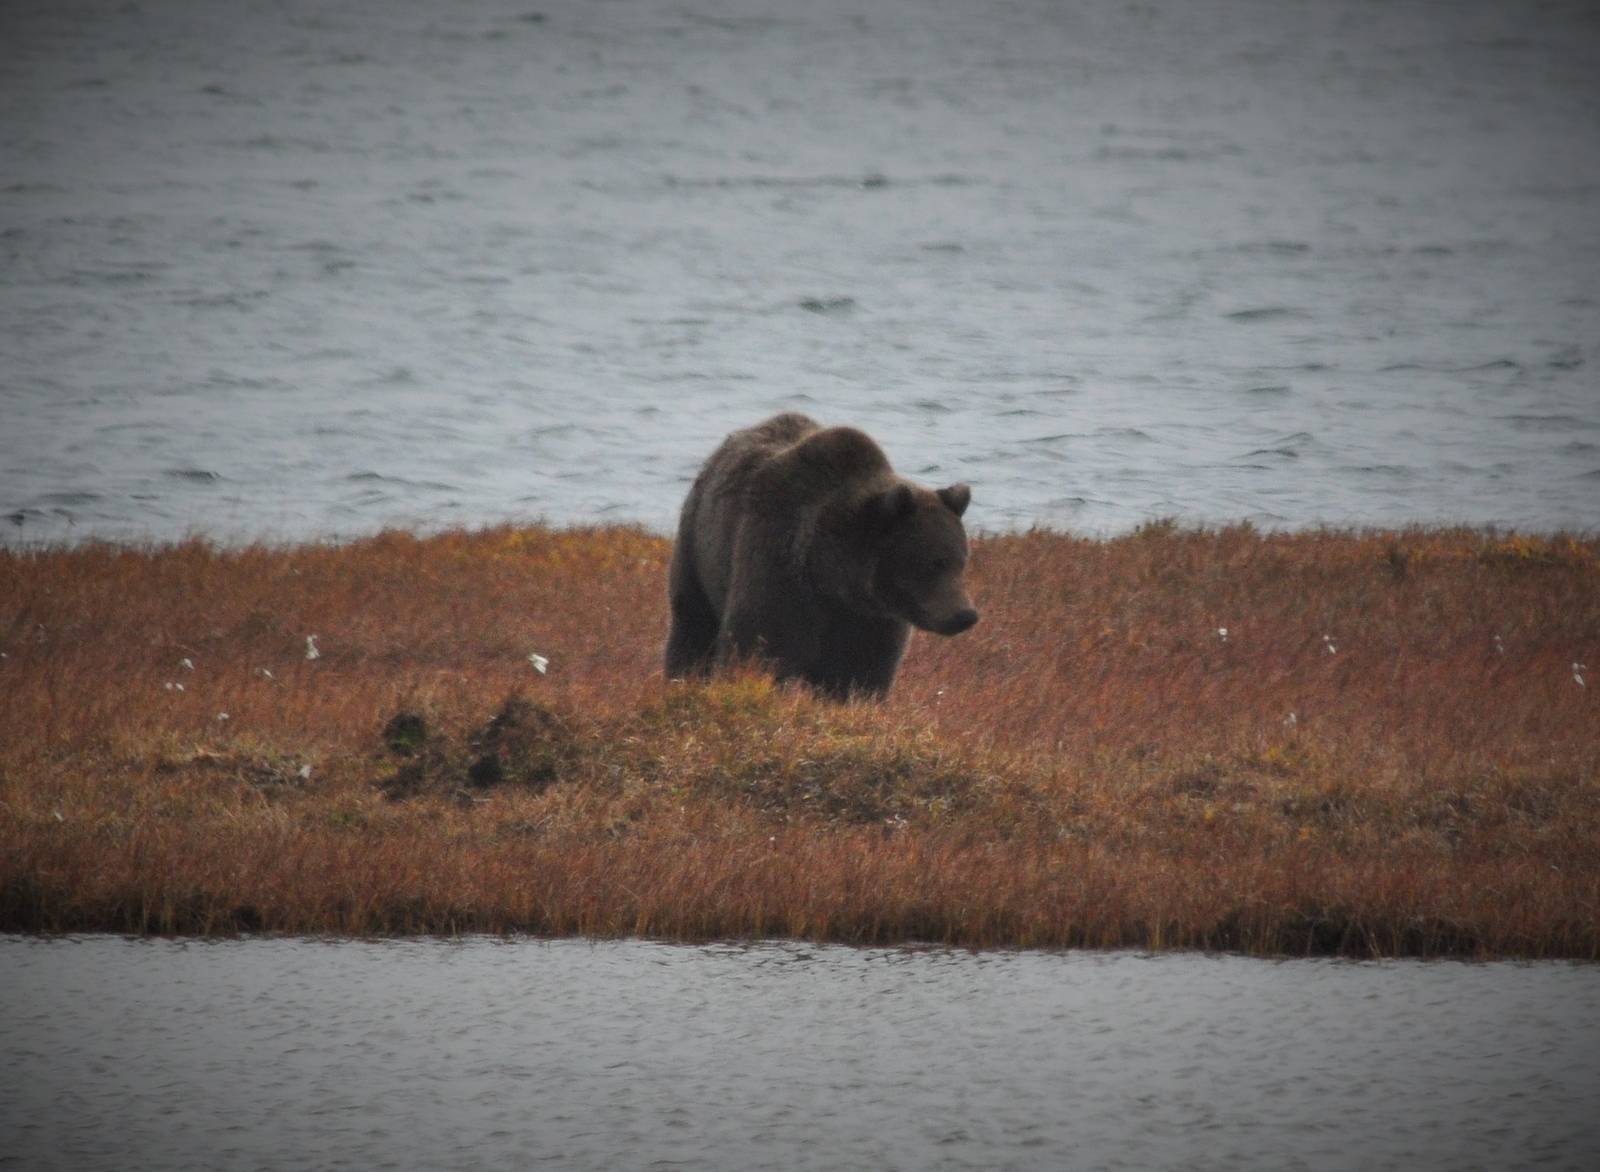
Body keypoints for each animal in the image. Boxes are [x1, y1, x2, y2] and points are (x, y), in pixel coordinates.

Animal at [665, 413, 978, 699]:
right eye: (933, 563)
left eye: (961, 561)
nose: (965, 614)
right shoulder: (777, 563)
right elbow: (759, 646)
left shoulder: (870, 620)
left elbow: (860, 673)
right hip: (699, 548)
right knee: (693, 624)